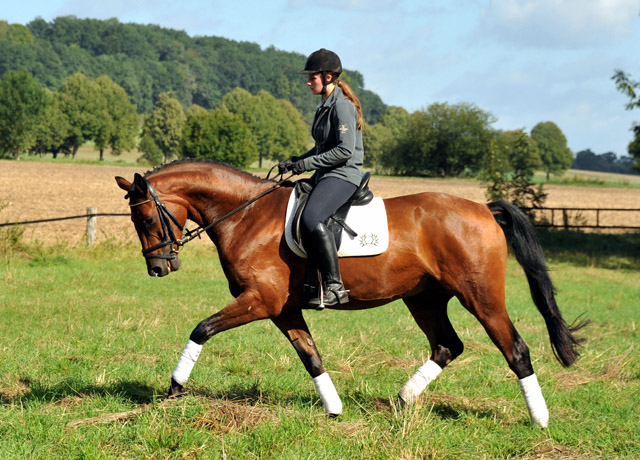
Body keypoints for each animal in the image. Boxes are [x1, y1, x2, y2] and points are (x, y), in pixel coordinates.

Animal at [115, 159, 584, 428]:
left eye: (146, 219)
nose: (158, 267)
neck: (246, 215)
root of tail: (483, 209)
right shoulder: (282, 310)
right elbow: (311, 356)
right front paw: (335, 409)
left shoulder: (259, 301)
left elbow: (201, 329)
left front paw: (174, 390)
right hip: (424, 298)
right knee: (447, 345)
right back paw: (402, 400)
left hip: (481, 297)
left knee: (515, 349)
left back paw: (539, 420)